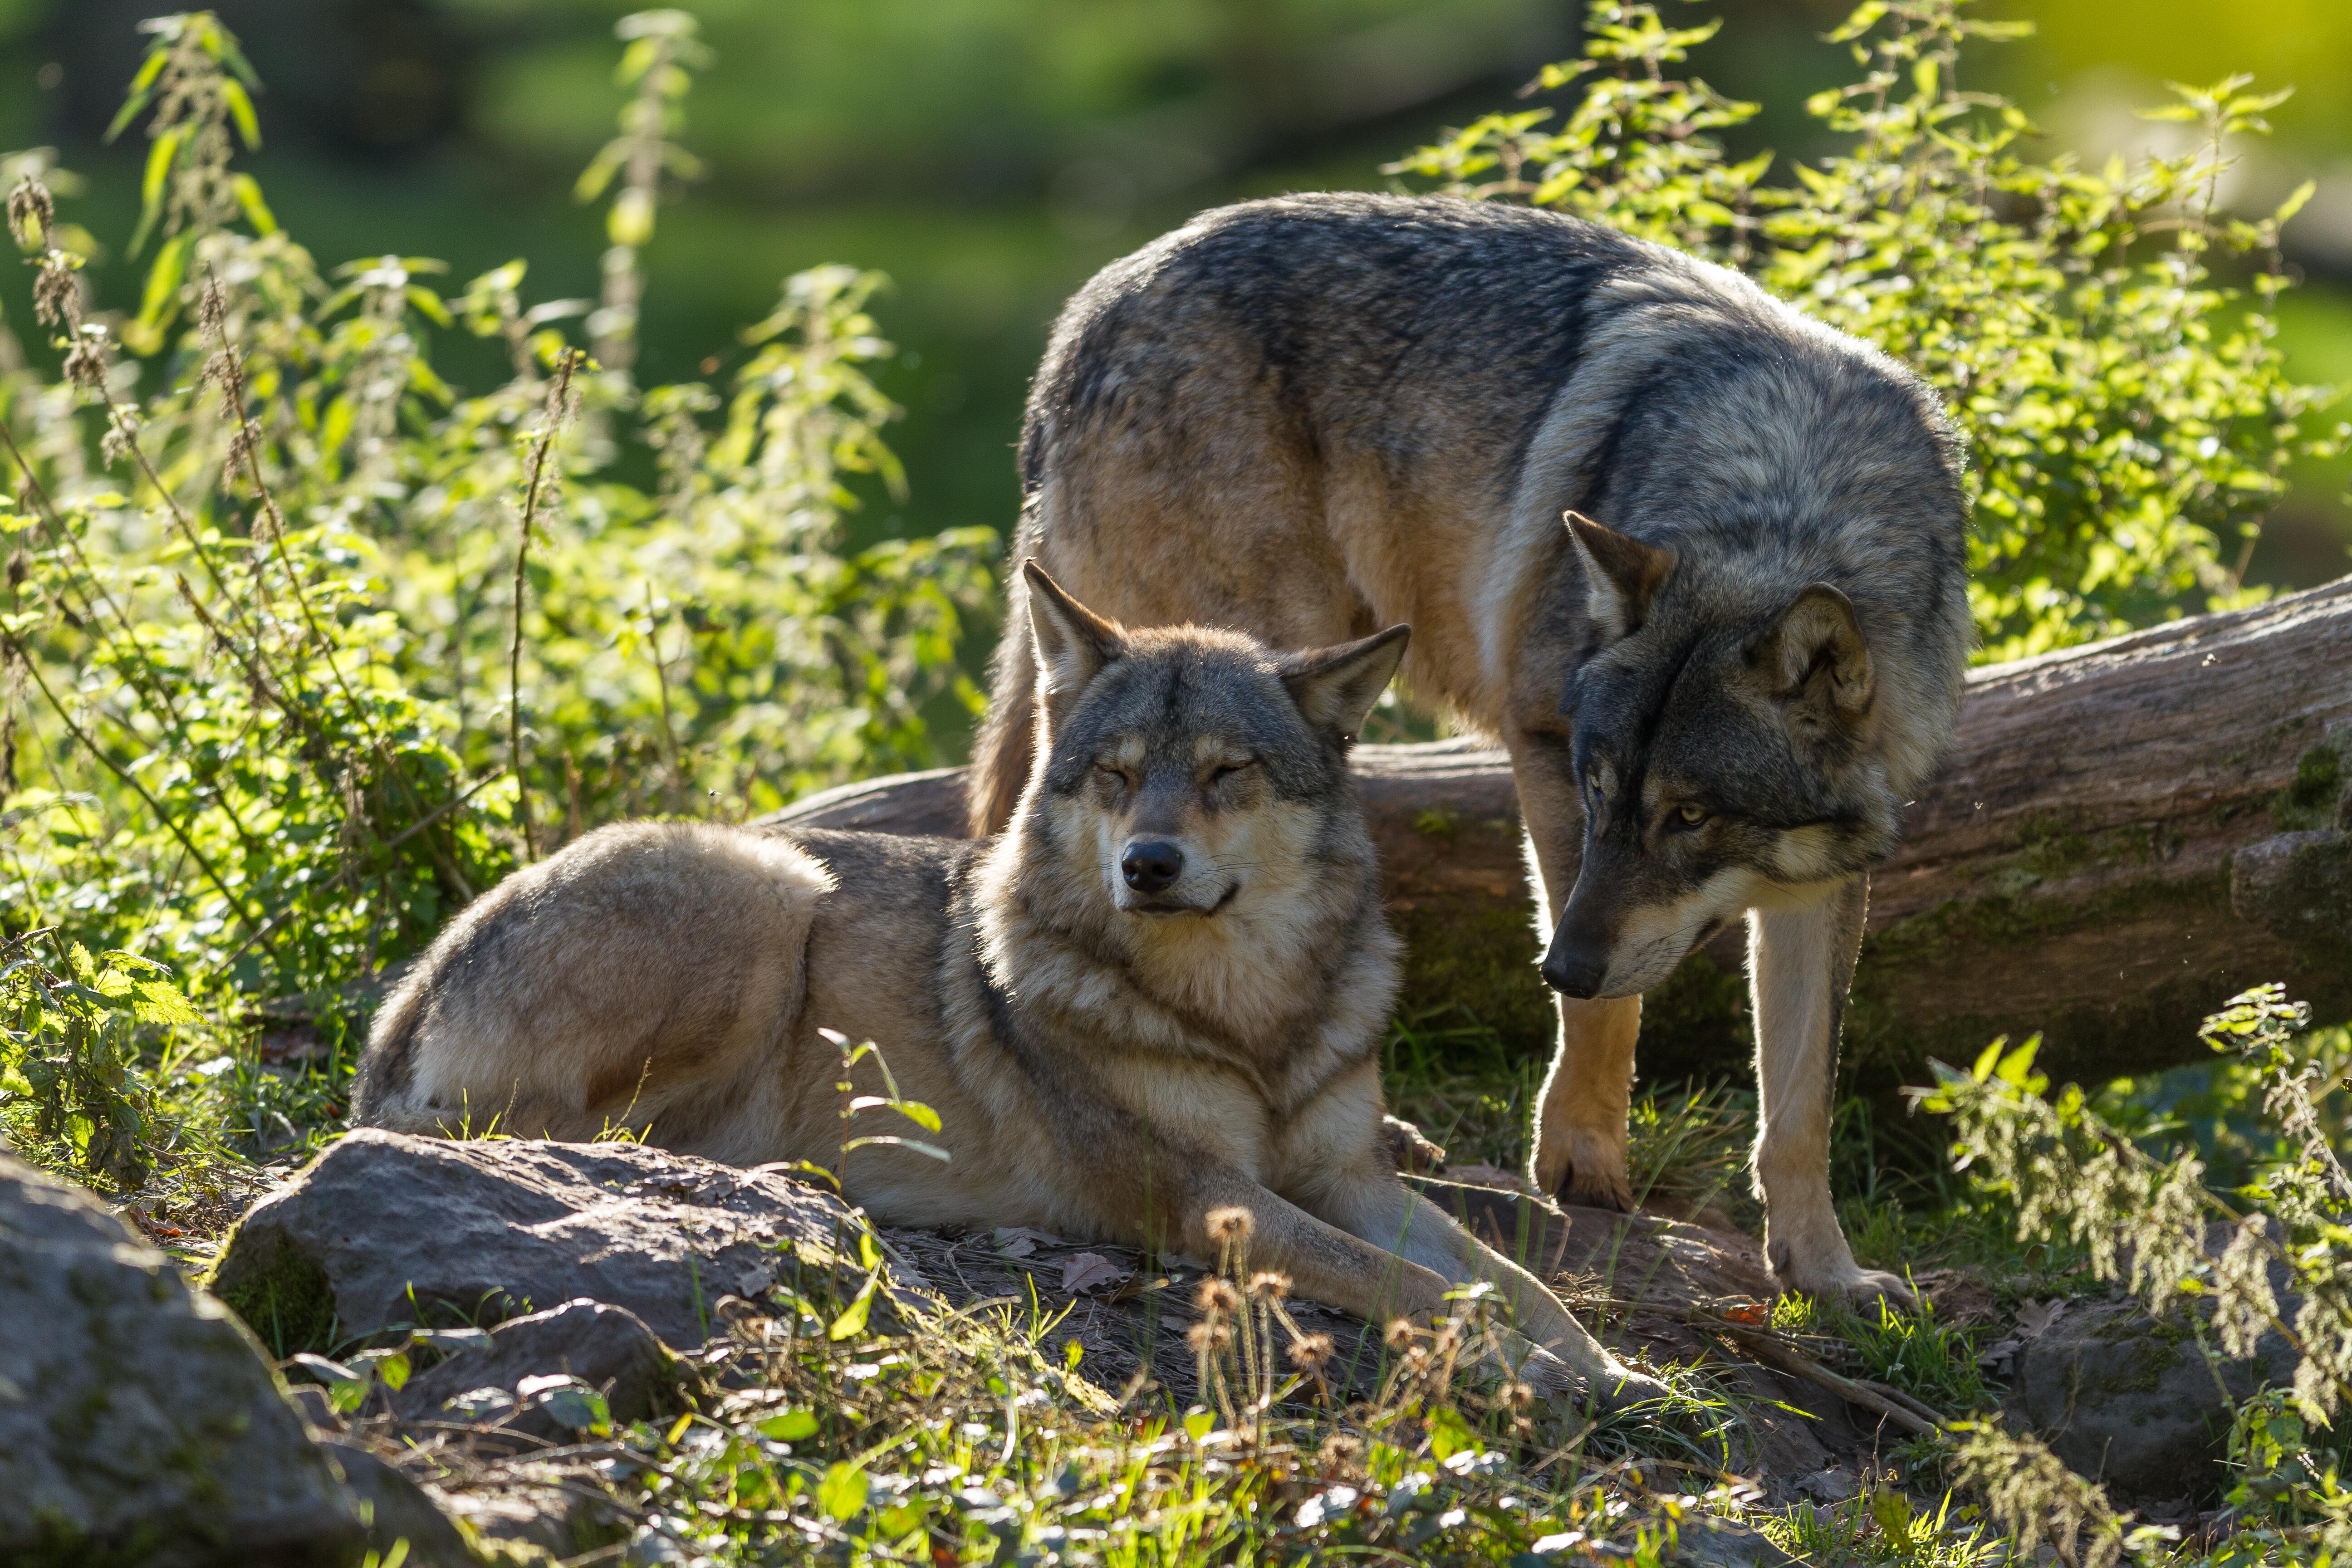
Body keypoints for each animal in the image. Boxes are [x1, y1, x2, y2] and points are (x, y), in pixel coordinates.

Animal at [351, 563, 1663, 1407]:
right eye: (1117, 774)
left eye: (1227, 773)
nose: (1148, 864)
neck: (1247, 1019)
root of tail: (404, 999)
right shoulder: (1209, 1199)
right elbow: (1422, 1287)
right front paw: (1542, 1368)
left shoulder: (1347, 1172)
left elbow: (1503, 1275)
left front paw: (1608, 1363)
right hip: (772, 890)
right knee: (553, 1135)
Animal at [968, 193, 1970, 1305]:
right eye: (1600, 791)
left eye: (1690, 816)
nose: (1557, 966)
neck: (1786, 505)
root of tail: (1088, 311)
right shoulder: (1544, 747)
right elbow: (1610, 1017)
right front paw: (1579, 1161)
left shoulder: (1826, 874)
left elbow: (1800, 1102)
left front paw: (1826, 1272)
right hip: (1264, 670)